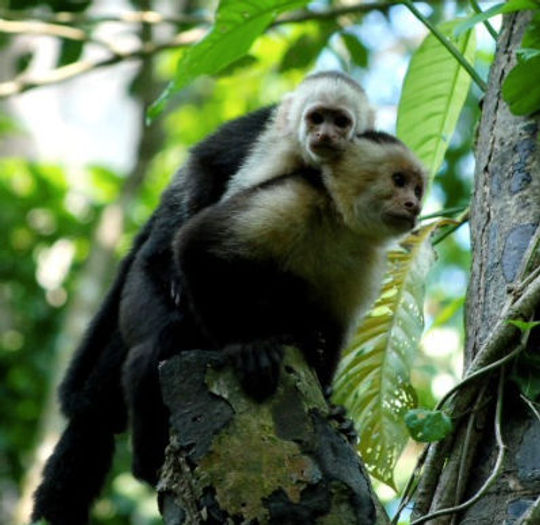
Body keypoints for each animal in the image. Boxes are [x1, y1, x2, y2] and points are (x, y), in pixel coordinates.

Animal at [31, 70, 374, 524]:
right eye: (318, 117)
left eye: (341, 121)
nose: (325, 135)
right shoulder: (273, 148)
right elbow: (219, 219)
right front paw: (253, 341)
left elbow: (332, 312)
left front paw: (331, 398)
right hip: (143, 284)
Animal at [175, 131, 424, 398]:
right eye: (398, 180)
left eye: (418, 190)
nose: (414, 205)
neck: (339, 219)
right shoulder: (293, 198)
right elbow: (196, 242)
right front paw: (244, 344)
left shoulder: (365, 256)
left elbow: (335, 322)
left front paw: (328, 394)